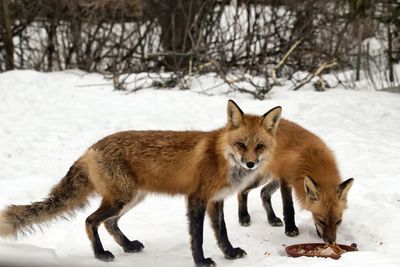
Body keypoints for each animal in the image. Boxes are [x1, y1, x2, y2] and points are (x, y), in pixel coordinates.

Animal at [0, 101, 282, 267]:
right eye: (241, 145)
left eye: (259, 146)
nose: (250, 164)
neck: (222, 157)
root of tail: (91, 148)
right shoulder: (196, 198)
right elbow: (198, 237)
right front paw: (201, 261)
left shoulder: (216, 200)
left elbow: (221, 233)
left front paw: (230, 254)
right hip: (121, 198)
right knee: (91, 221)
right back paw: (100, 254)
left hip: (132, 198)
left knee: (109, 223)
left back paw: (127, 245)